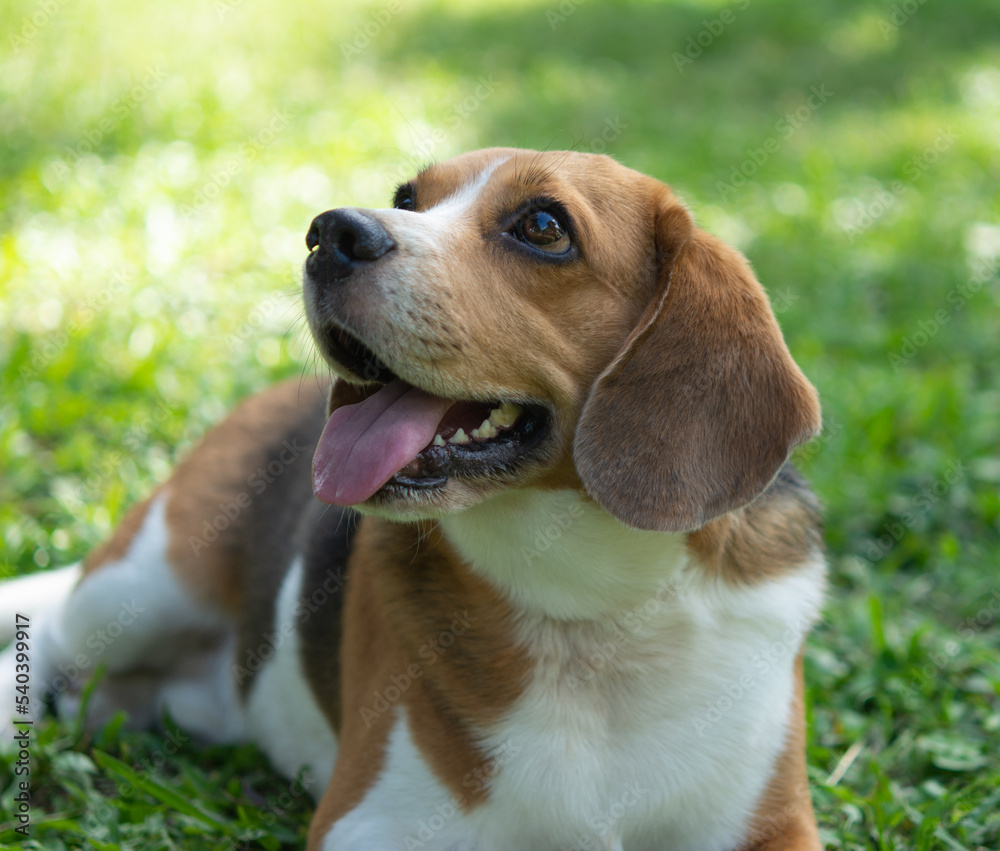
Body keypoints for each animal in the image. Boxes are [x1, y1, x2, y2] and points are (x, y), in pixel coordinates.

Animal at [1, 151, 828, 851]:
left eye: (543, 226)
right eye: (407, 199)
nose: (330, 232)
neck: (585, 617)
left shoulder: (775, 826)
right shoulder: (369, 823)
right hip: (132, 592)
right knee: (56, 639)